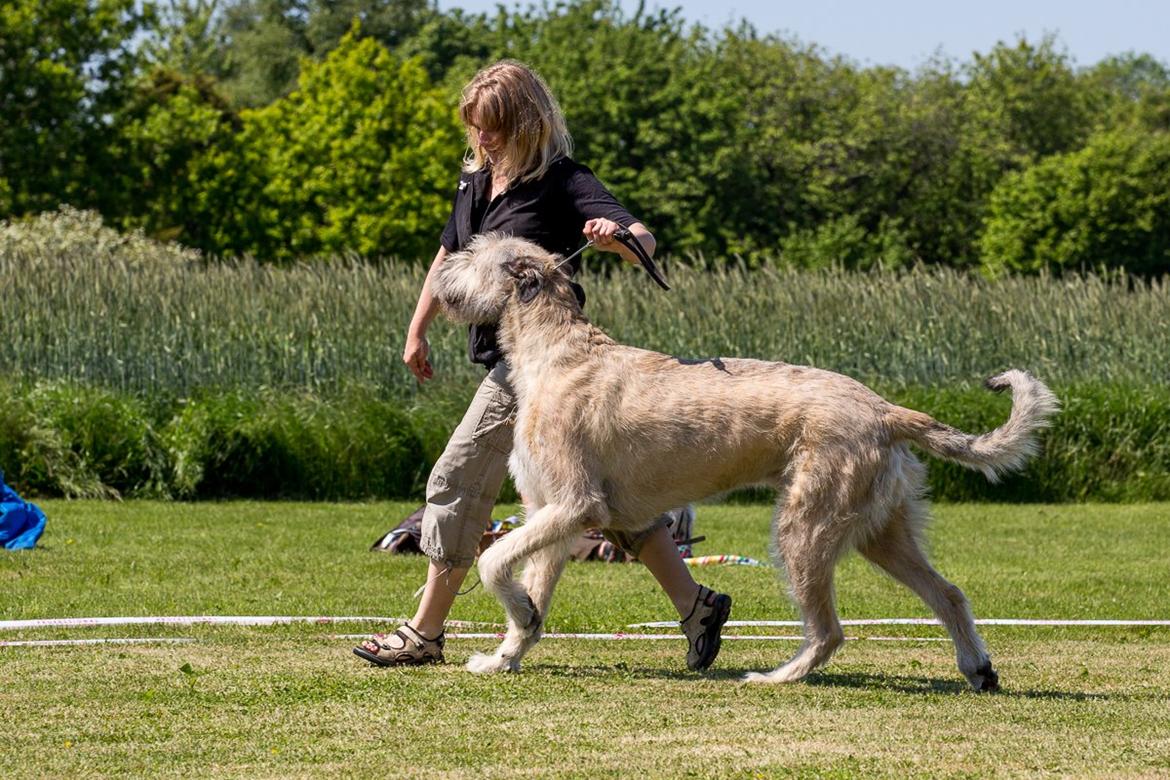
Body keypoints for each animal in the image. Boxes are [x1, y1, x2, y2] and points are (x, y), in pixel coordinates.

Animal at [430, 233, 1062, 687]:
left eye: (474, 252)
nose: (437, 275)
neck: (554, 349)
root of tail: (884, 409)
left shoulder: (574, 506)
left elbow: (492, 560)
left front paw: (514, 620)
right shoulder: (549, 514)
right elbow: (530, 584)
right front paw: (509, 650)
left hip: (804, 526)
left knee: (830, 630)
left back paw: (778, 676)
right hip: (882, 530)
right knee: (949, 593)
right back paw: (978, 668)